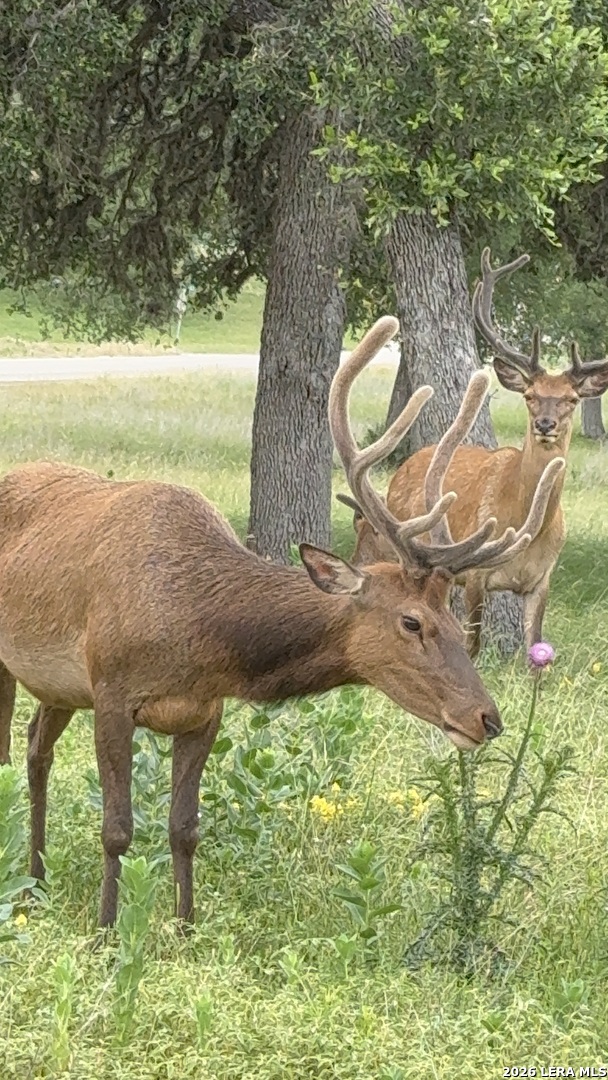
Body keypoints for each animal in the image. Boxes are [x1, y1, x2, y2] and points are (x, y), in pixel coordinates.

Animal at [0, 316, 563, 929]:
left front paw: (185, 926)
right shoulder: (112, 690)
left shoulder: (204, 711)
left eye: (457, 626)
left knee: (35, 746)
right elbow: (117, 829)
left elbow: (184, 829)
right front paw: (106, 930)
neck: (194, 625)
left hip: (59, 686)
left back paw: (36, 878)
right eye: (411, 622)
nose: (487, 719)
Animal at [338, 249, 608, 658]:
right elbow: (472, 646)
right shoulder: (478, 578)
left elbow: (535, 650)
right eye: (530, 395)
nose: (545, 424)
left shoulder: (542, 580)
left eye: (572, 399)